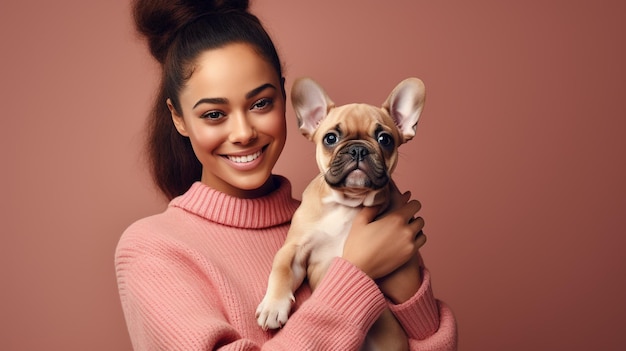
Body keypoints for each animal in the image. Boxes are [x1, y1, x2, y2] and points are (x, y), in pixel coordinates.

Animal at [255, 77, 424, 351]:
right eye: (330, 138)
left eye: (385, 139)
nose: (358, 150)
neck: (347, 203)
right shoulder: (296, 249)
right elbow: (281, 268)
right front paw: (273, 306)